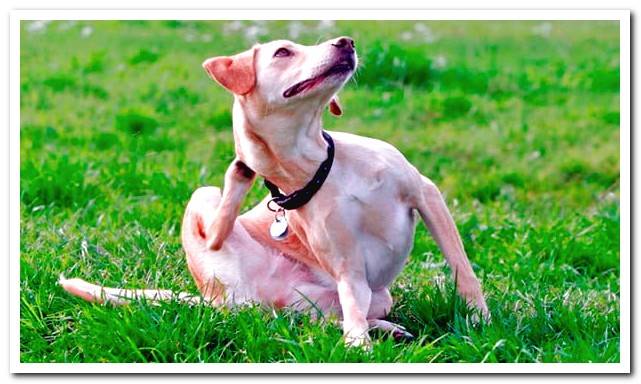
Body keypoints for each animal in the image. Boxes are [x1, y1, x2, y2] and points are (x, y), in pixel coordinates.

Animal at [61, 36, 490, 348]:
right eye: (283, 52)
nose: (346, 42)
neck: (319, 166)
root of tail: (212, 299)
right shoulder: (347, 265)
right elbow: (352, 309)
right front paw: (361, 347)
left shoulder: (426, 195)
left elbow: (462, 269)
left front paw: (479, 319)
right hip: (213, 217)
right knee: (292, 308)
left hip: (371, 295)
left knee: (326, 320)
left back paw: (385, 328)